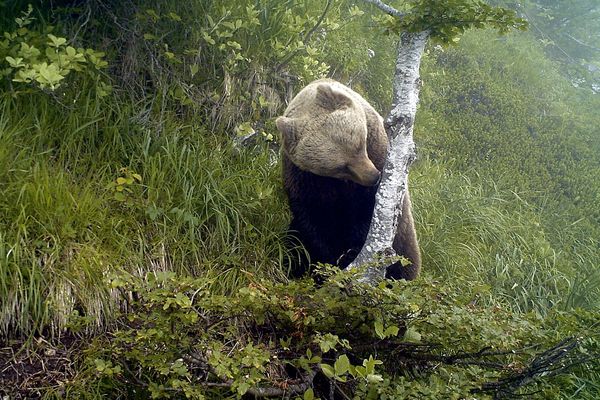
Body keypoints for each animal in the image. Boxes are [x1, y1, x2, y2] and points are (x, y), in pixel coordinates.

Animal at [278, 76, 422, 280]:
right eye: (340, 167)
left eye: (360, 143)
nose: (374, 176)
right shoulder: (305, 179)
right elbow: (315, 222)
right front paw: (337, 258)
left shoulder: (378, 152)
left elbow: (367, 212)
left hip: (406, 239)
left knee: (405, 261)